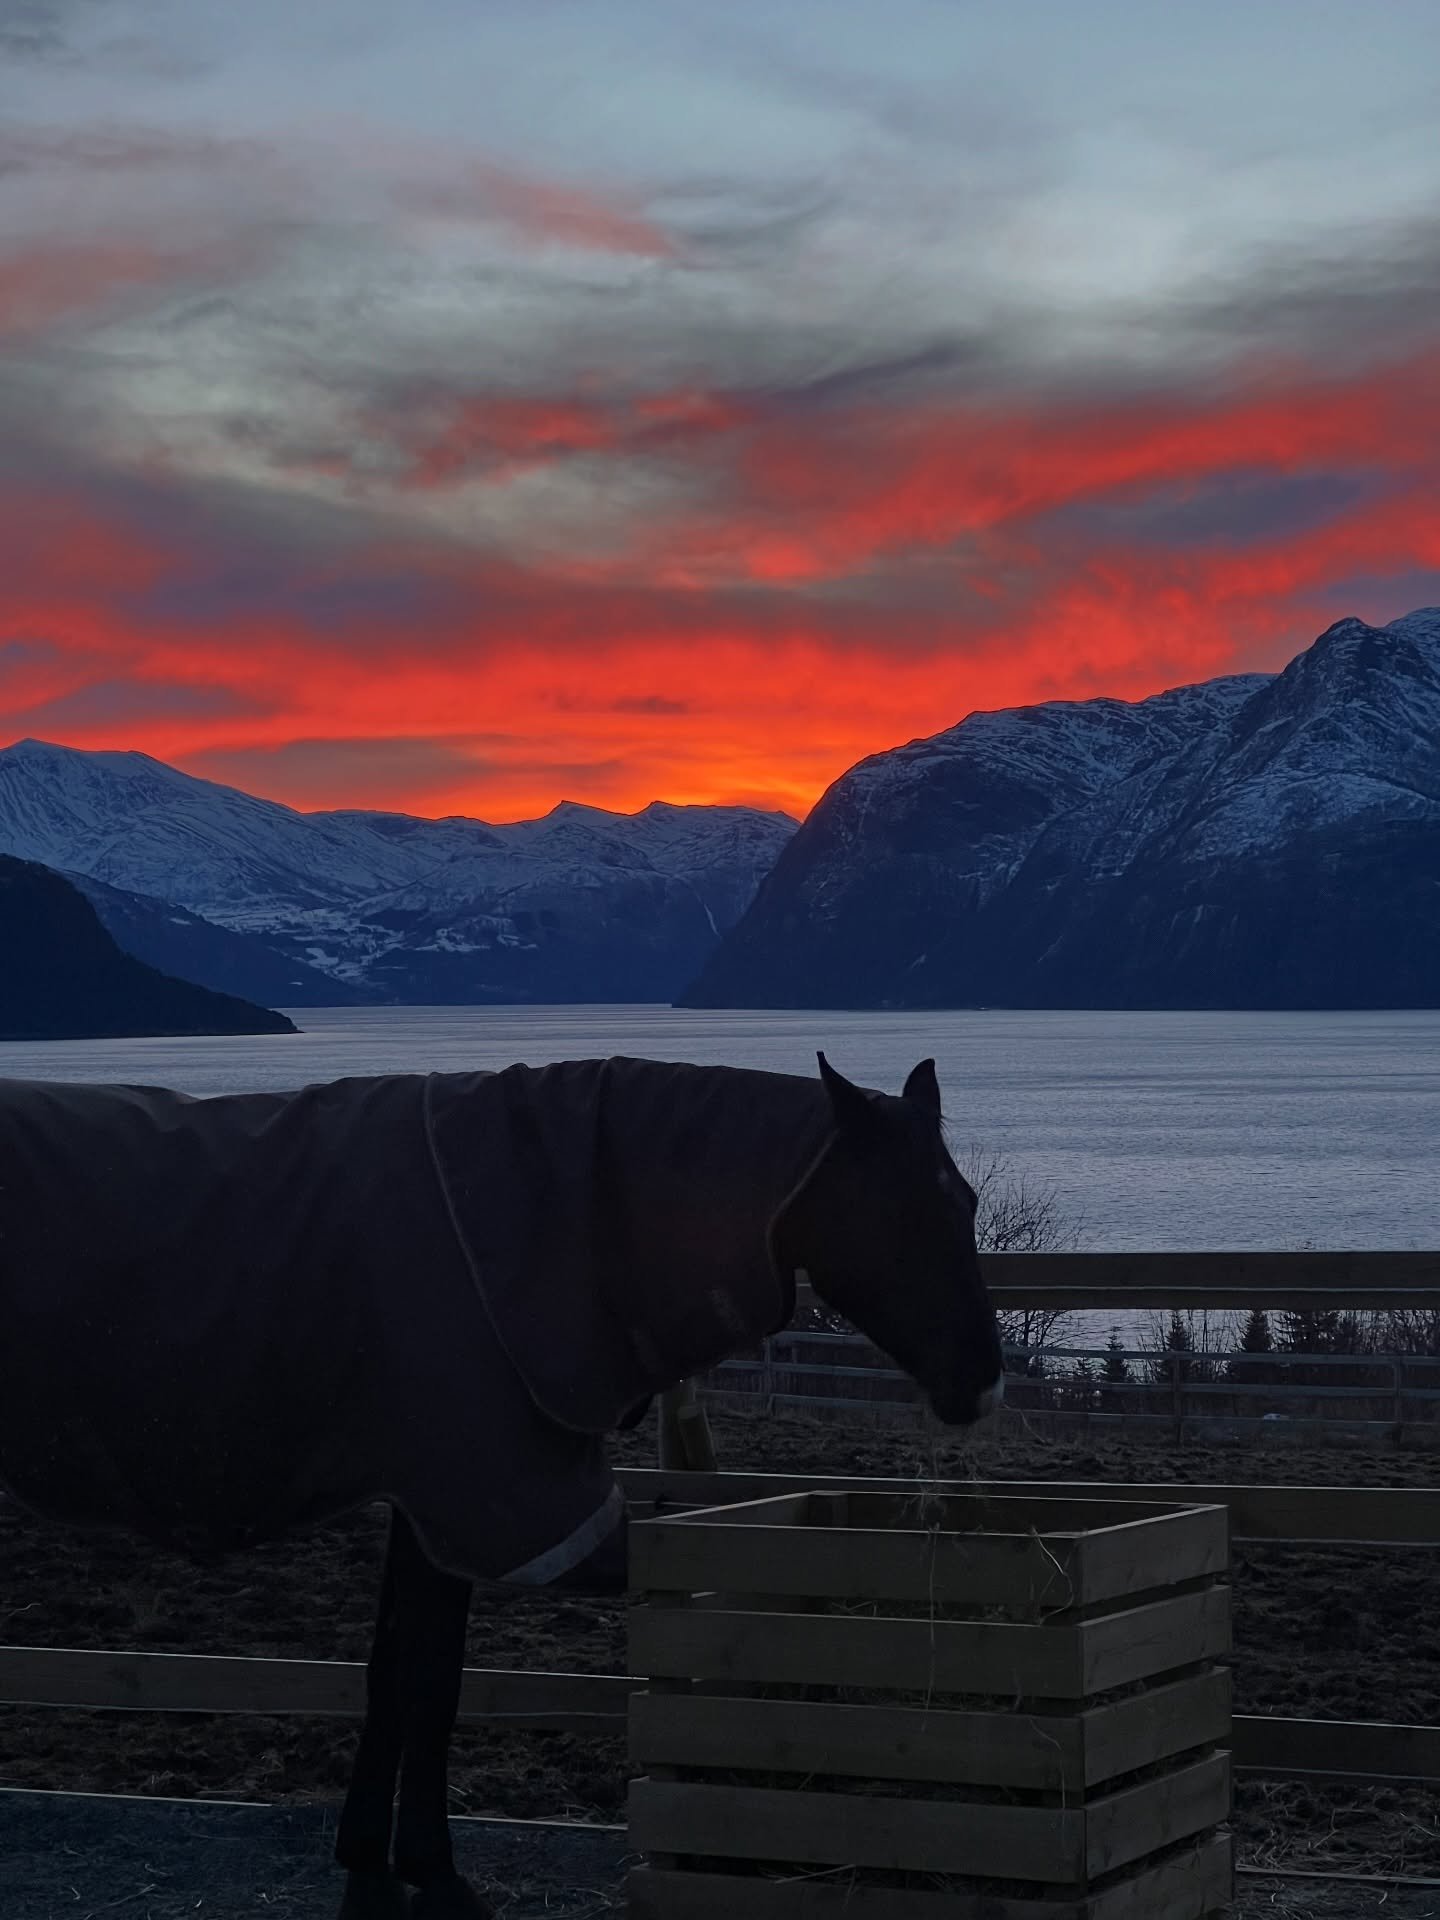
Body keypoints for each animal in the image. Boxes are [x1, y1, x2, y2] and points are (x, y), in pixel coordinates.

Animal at [0, 1051, 1004, 1917]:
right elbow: (432, 1682)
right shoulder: (472, 1493)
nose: (984, 1380)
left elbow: (395, 1673)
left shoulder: (431, 1502)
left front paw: (370, 1863)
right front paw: (430, 1872)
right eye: (904, 1209)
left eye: (966, 1199)